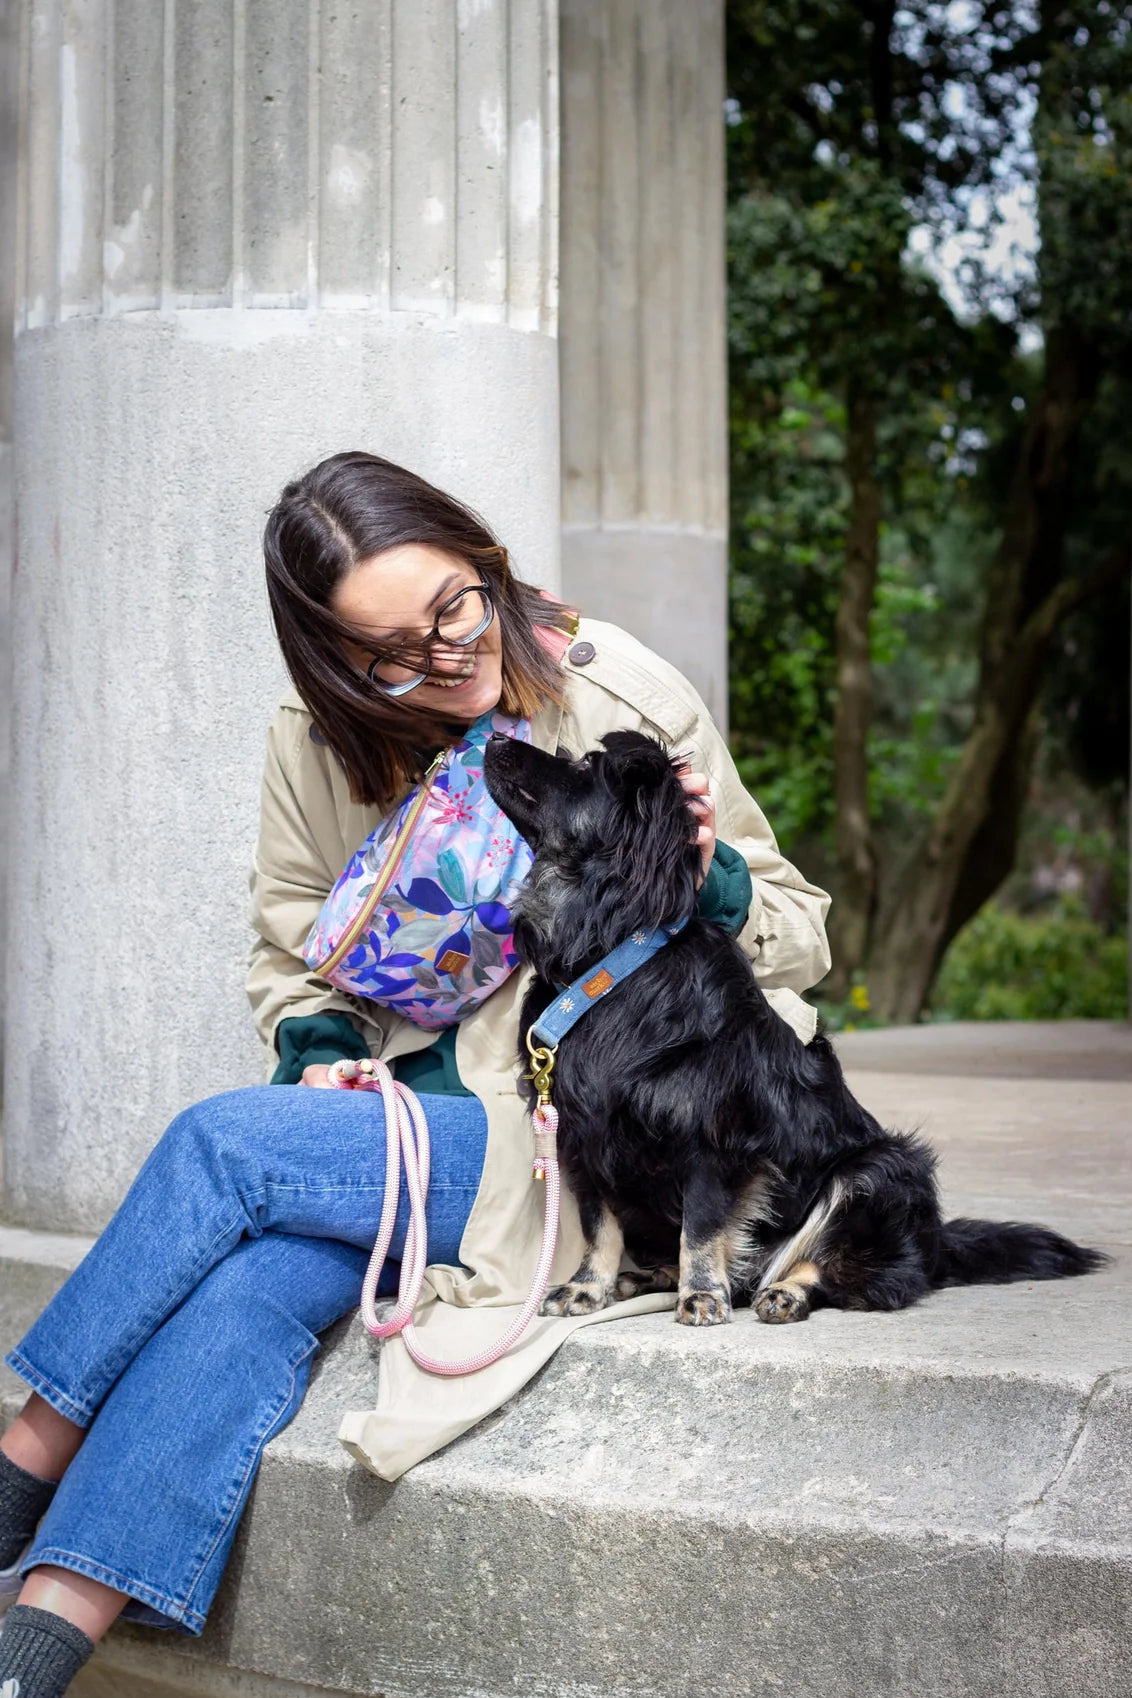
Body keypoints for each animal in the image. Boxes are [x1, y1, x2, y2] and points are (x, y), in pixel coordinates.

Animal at [481, 730, 1099, 1324]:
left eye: (584, 767)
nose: (492, 740)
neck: (609, 964)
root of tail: (935, 1246)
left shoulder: (711, 1138)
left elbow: (702, 1225)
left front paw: (701, 1295)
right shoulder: (582, 1133)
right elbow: (600, 1224)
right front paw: (590, 1287)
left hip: (881, 1171)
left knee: (852, 1275)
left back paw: (784, 1292)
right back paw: (651, 1277)